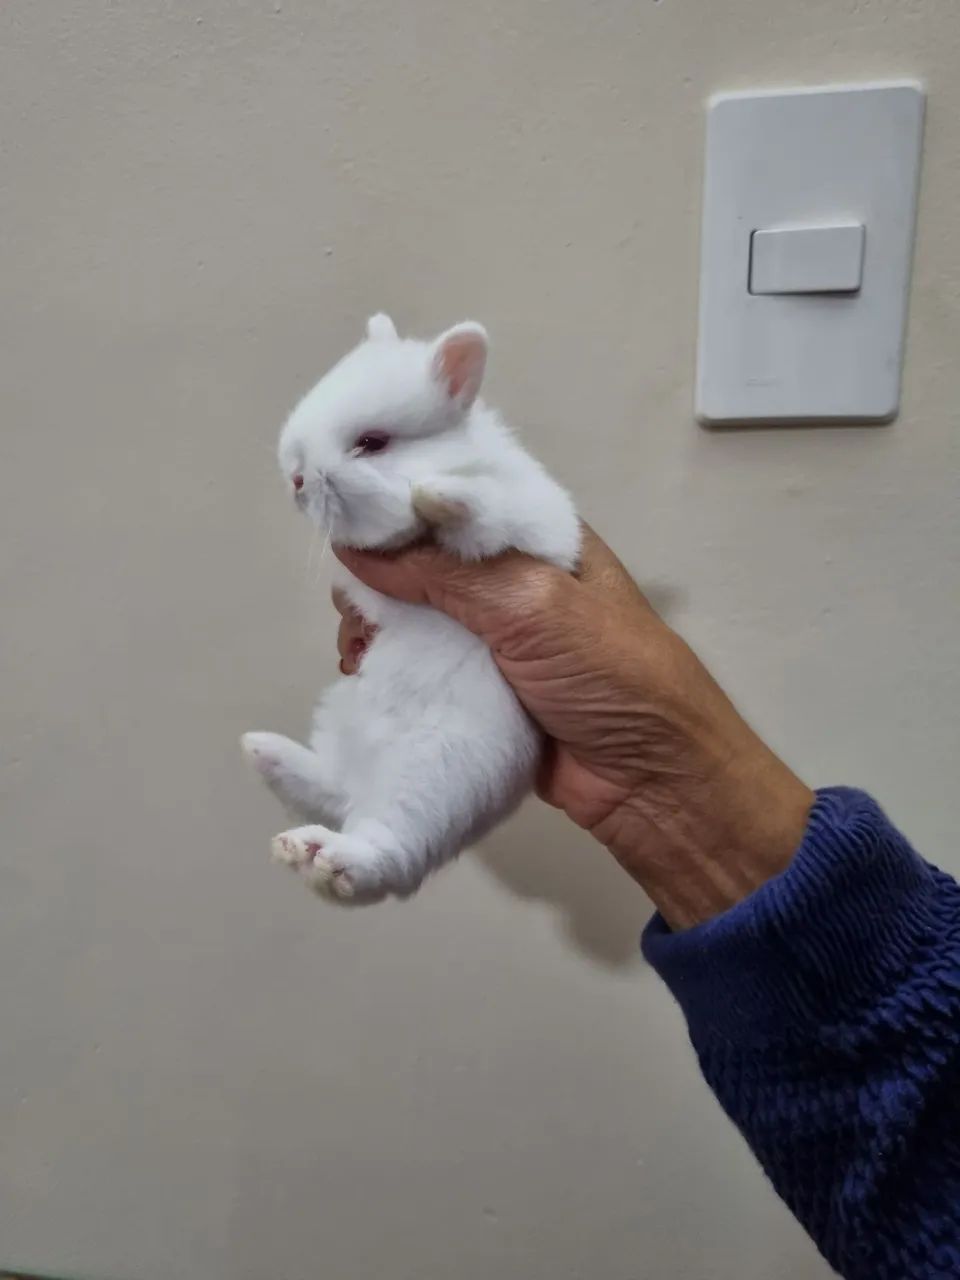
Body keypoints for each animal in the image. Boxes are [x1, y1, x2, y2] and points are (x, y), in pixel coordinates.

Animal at [242, 313, 580, 904]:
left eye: (372, 443)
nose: (297, 480)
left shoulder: (522, 524)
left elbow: (478, 512)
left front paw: (436, 494)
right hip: (340, 724)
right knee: (332, 792)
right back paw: (266, 760)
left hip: (431, 778)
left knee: (384, 858)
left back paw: (323, 856)